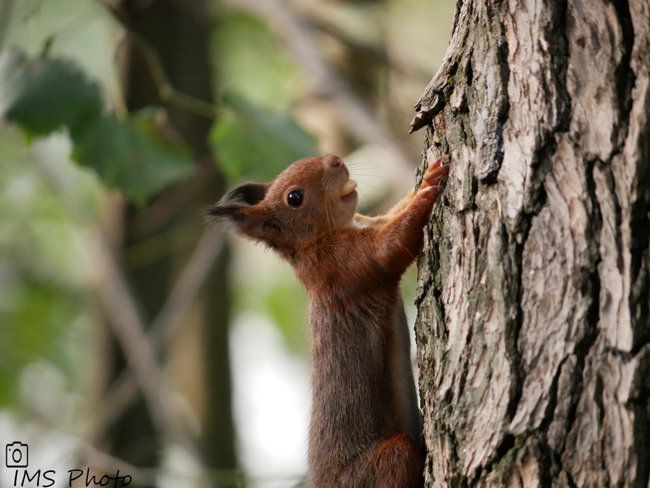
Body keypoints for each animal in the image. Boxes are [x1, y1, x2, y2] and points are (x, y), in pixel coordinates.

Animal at [208, 154, 446, 486]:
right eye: (295, 198)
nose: (334, 160)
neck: (316, 241)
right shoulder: (346, 266)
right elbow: (392, 247)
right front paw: (428, 188)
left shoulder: (368, 224)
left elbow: (393, 213)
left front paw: (421, 183)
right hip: (385, 463)